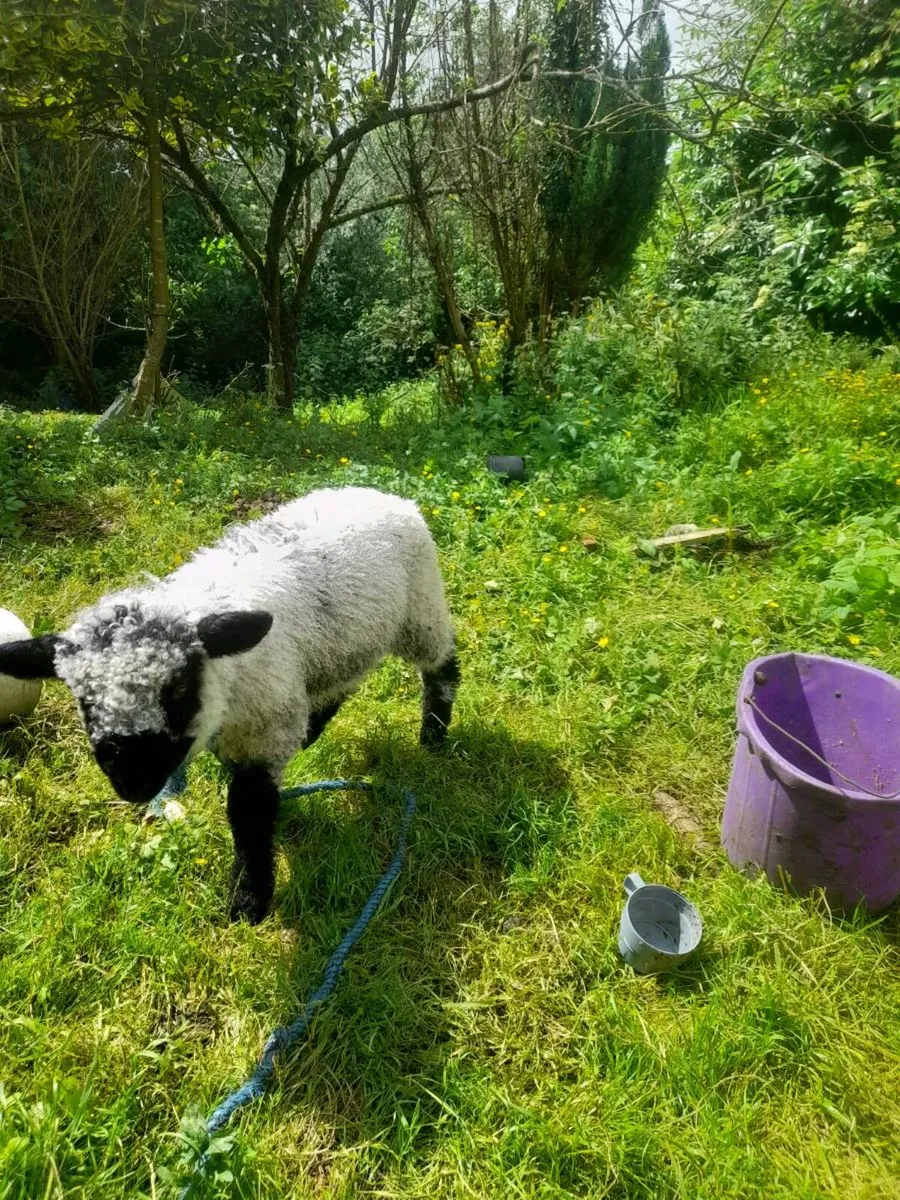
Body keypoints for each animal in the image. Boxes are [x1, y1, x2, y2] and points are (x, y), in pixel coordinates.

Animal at [0, 486, 459, 922]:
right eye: (85, 698)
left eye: (178, 689)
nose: (133, 783)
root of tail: (386, 496)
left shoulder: (264, 733)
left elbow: (248, 809)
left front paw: (249, 899)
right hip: (343, 642)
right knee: (340, 683)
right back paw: (314, 729)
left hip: (421, 610)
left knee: (443, 666)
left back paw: (434, 733)